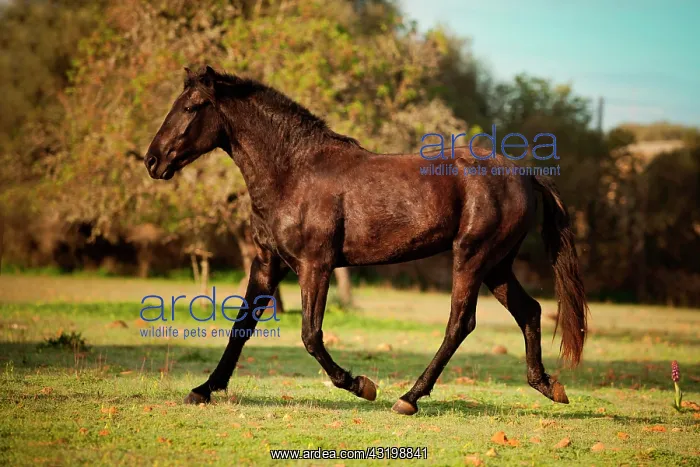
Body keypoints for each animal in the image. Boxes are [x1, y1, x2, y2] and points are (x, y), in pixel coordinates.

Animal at [144, 65, 588, 415]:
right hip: (496, 266)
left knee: (460, 323)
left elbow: (310, 335)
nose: (152, 160)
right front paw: (204, 389)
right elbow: (242, 326)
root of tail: (524, 174)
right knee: (530, 311)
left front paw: (361, 385)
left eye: (191, 107)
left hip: (472, 258)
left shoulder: (315, 265)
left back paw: (409, 397)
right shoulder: (268, 263)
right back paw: (548, 386)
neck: (294, 172)